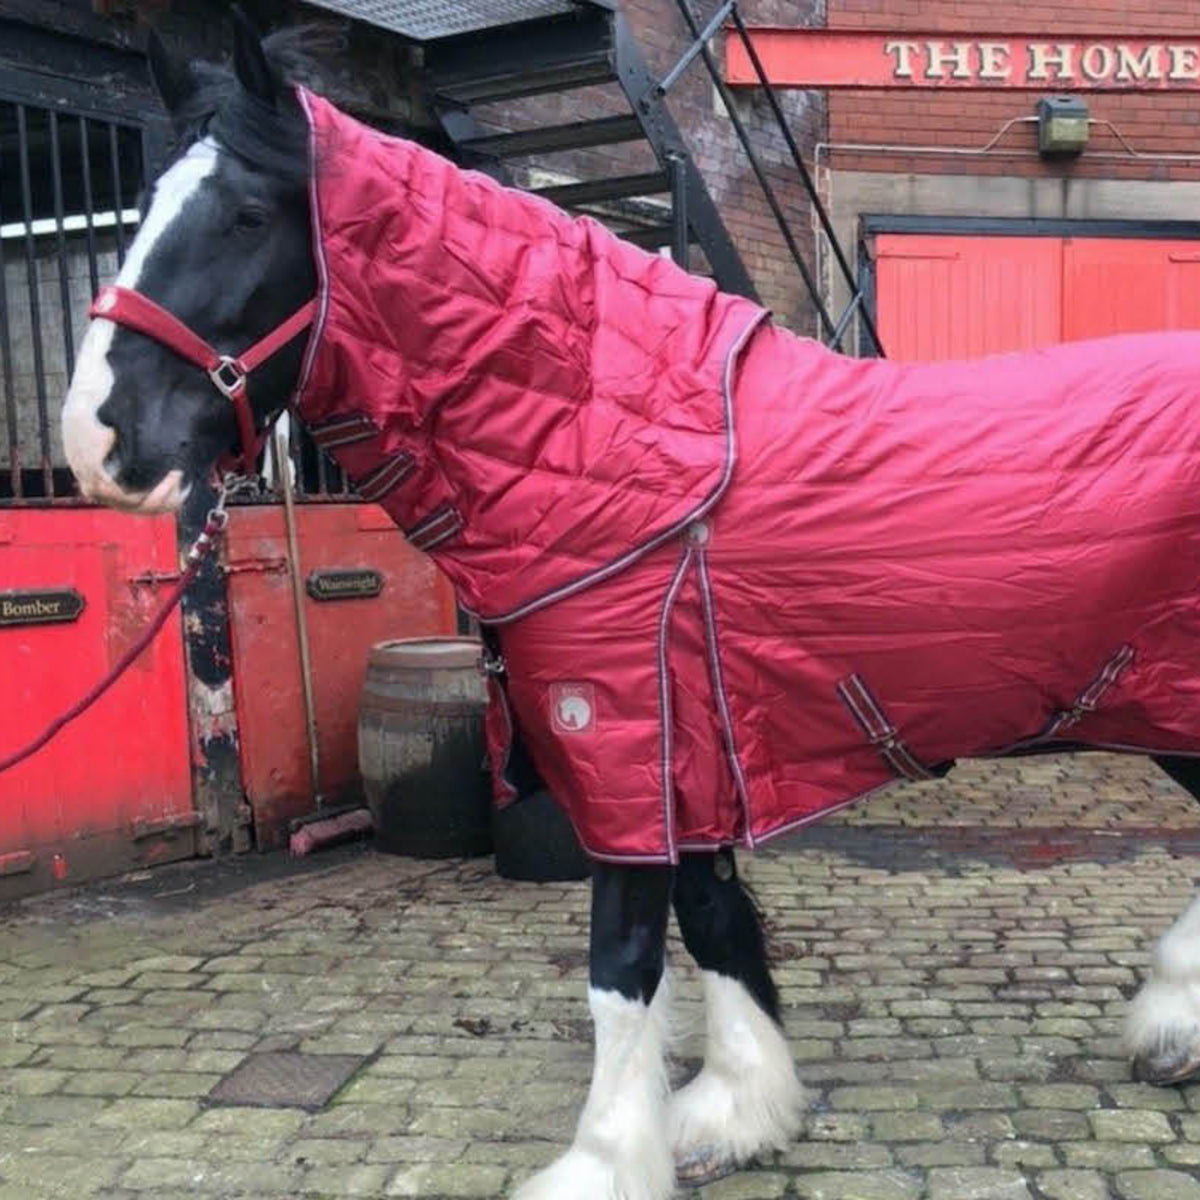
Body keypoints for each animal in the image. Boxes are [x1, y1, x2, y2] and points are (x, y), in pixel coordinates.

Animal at [60, 16, 1200, 1199]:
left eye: (245, 213)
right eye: (137, 208)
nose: (98, 442)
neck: (617, 438)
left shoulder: (619, 742)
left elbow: (622, 965)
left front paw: (607, 1157)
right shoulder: (684, 750)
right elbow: (717, 924)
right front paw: (734, 1113)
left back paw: (1171, 1016)